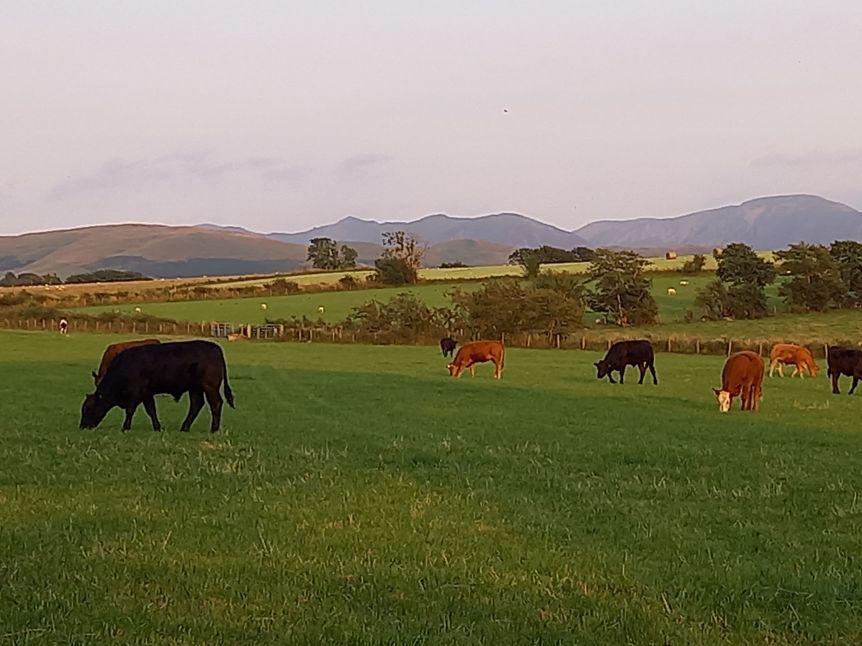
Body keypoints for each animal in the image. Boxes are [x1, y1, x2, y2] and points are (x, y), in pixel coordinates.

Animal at [80, 340, 235, 433]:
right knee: (196, 405)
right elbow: (151, 410)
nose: (82, 426)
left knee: (215, 404)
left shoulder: (135, 394)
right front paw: (157, 427)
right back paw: (185, 427)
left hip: (209, 387)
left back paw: (214, 429)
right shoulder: (147, 394)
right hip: (195, 388)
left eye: (88, 409)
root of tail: (215, 347)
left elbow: (130, 411)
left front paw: (125, 427)